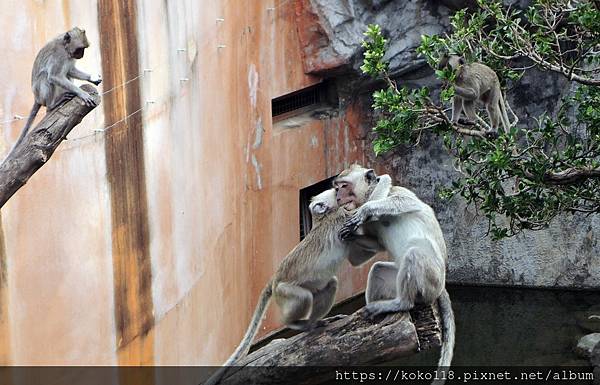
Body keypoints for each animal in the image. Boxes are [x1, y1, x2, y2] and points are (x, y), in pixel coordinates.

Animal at [205, 175, 394, 384]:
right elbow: (362, 211)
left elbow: (356, 259)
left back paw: (315, 323)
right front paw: (382, 180)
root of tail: (275, 278)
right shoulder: (342, 216)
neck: (325, 217)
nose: (341, 193)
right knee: (303, 298)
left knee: (330, 285)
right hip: (284, 291)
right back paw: (295, 323)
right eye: (336, 191)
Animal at [338, 164, 454, 380]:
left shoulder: (397, 192)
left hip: (430, 282)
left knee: (415, 253)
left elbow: (411, 203)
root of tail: (441, 286)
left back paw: (401, 303)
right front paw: (348, 233)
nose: (338, 197)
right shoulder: (370, 225)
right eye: (337, 187)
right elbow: (374, 246)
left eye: (344, 186)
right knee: (378, 269)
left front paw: (366, 208)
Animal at [360, 0, 600, 237]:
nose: (444, 71)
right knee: (471, 103)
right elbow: (458, 100)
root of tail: (497, 77)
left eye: (447, 64)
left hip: (492, 88)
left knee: (487, 104)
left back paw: (490, 127)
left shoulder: (465, 78)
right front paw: (453, 118)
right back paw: (470, 122)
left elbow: (467, 93)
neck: (459, 72)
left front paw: (450, 89)